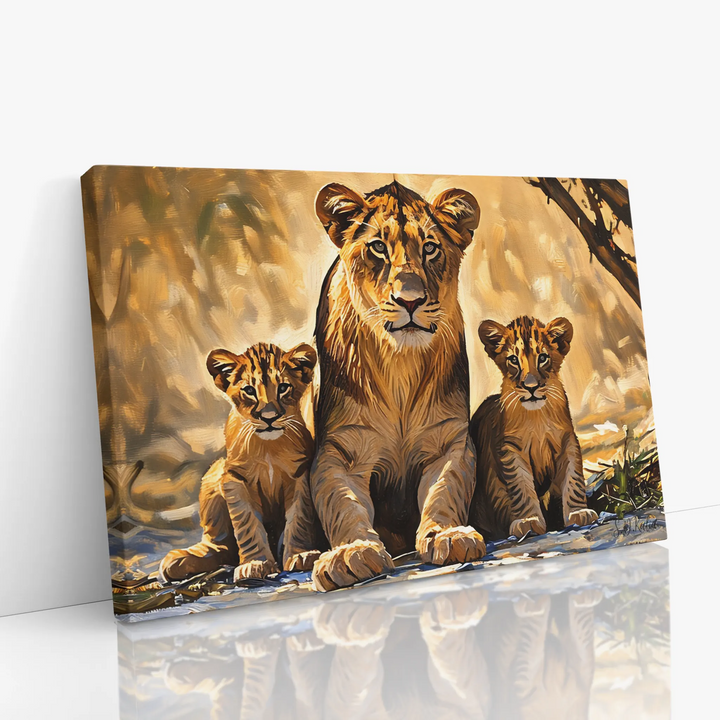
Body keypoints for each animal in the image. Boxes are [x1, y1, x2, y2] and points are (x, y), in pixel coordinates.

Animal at [159, 342, 325, 584]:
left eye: (284, 387)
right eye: (249, 391)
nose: (269, 418)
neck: (268, 449)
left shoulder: (299, 474)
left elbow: (299, 519)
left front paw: (300, 555)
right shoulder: (234, 478)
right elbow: (247, 525)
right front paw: (255, 564)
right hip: (214, 473)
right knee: (221, 545)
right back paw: (179, 561)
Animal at [309, 180, 486, 591]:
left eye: (430, 248)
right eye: (378, 247)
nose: (410, 301)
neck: (399, 364)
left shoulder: (449, 441)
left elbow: (444, 492)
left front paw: (449, 535)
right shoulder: (340, 449)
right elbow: (342, 503)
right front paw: (351, 553)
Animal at [468, 316, 599, 540]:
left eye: (543, 358)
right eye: (513, 360)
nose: (531, 387)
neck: (536, 417)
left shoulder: (568, 441)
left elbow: (573, 478)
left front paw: (578, 512)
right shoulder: (510, 449)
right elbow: (521, 486)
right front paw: (528, 521)